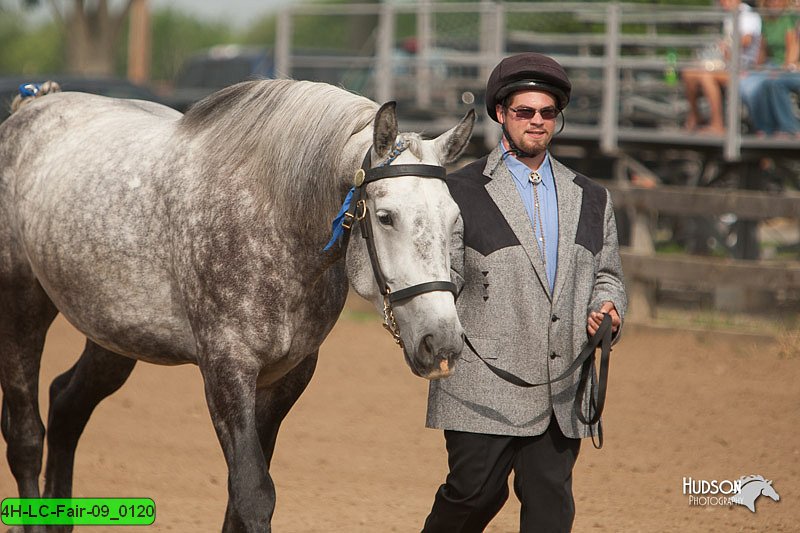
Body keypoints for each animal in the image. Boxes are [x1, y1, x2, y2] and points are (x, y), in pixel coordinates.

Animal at [0, 80, 472, 532]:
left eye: (453, 217)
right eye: (386, 216)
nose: (441, 342)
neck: (272, 218)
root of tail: (30, 107)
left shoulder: (287, 376)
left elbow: (238, 499)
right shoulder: (226, 371)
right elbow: (253, 494)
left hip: (114, 337)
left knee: (66, 405)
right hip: (22, 309)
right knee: (27, 438)